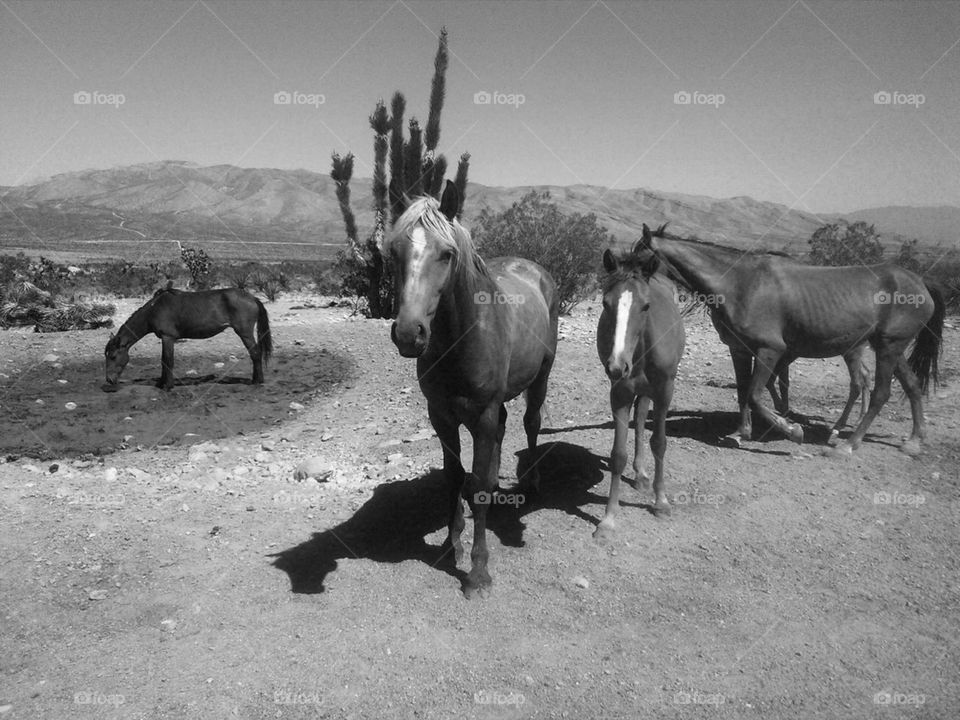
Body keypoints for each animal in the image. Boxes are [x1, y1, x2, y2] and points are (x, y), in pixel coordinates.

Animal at [104, 285, 272, 390]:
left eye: (113, 356)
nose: (109, 380)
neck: (154, 309)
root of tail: (252, 298)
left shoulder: (167, 337)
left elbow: (167, 360)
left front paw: (167, 386)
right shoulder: (166, 338)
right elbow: (164, 361)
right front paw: (161, 383)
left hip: (245, 333)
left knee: (255, 353)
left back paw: (257, 381)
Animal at [383, 181, 559, 598]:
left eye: (447, 254)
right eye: (394, 252)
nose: (409, 334)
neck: (463, 336)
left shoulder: (481, 415)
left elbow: (475, 489)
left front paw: (478, 572)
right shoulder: (442, 417)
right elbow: (455, 479)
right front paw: (453, 544)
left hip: (540, 377)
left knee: (530, 423)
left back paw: (532, 481)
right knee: (504, 430)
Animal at [594, 241, 685, 539]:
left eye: (646, 306)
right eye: (605, 303)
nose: (616, 365)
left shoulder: (665, 392)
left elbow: (659, 443)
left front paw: (661, 502)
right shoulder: (619, 393)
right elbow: (618, 455)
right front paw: (609, 519)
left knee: (644, 416)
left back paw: (644, 476)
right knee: (641, 415)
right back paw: (639, 473)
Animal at [637, 223, 944, 455]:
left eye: (639, 259)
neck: (740, 283)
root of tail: (920, 282)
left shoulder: (770, 350)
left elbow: (757, 394)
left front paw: (791, 429)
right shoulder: (739, 350)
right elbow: (744, 391)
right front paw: (741, 432)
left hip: (887, 348)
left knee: (880, 392)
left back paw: (847, 444)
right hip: (889, 348)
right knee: (911, 386)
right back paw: (913, 441)